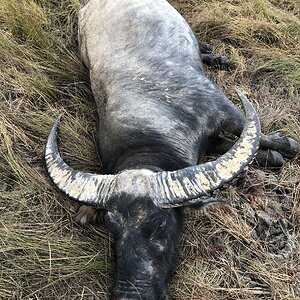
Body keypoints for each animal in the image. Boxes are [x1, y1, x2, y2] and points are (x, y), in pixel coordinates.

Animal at [44, 1, 298, 298]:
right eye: (112, 227)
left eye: (160, 224)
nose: (131, 293)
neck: (150, 127)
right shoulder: (211, 139)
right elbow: (235, 144)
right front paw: (272, 155)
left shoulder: (226, 110)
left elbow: (257, 136)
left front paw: (288, 145)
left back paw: (215, 55)